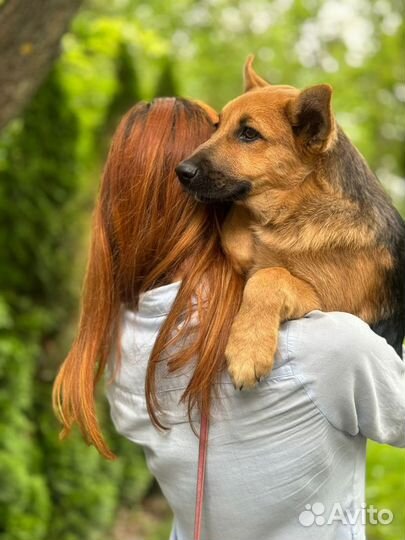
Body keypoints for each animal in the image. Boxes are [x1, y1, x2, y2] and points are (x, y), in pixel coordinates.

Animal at [176, 57, 404, 390]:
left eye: (249, 134)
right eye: (217, 127)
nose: (181, 171)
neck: (293, 209)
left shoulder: (332, 301)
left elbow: (269, 276)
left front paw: (248, 350)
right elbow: (243, 238)